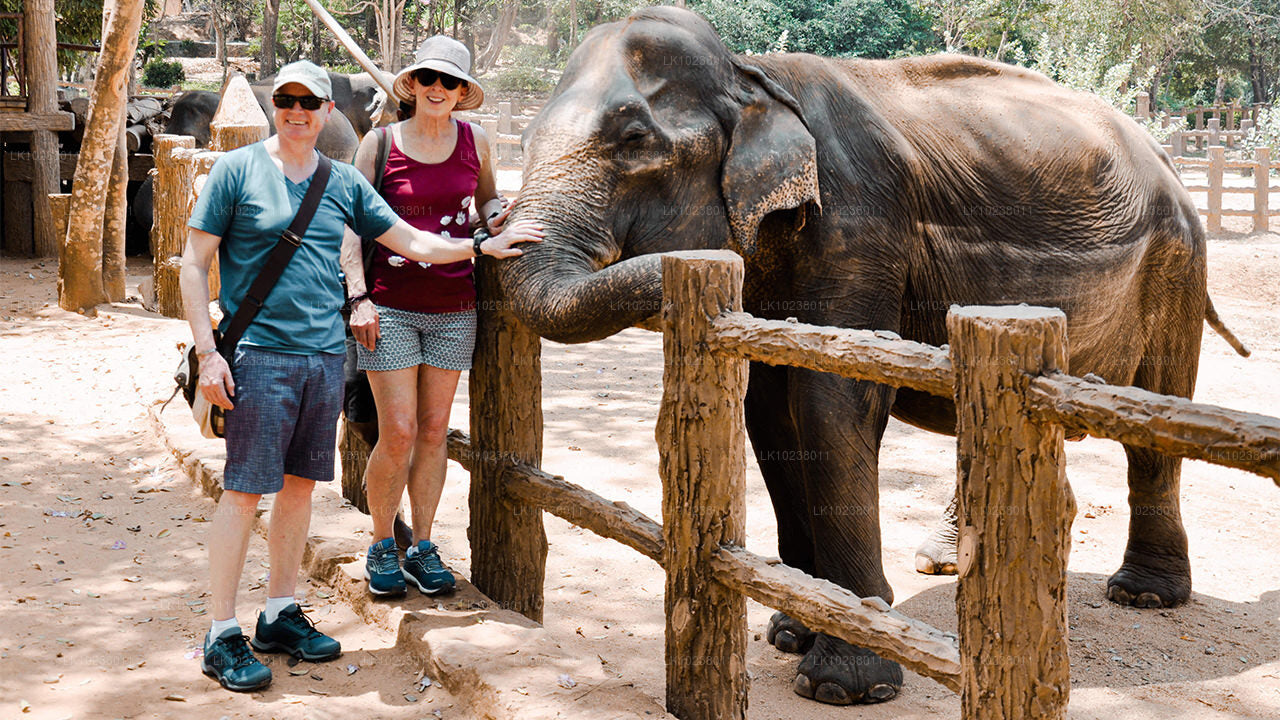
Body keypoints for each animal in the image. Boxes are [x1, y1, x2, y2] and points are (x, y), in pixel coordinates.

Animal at [496, 2, 1249, 702]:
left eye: (630, 140)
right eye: (523, 141)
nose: (490, 228)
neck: (751, 73)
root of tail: (1165, 156)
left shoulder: (861, 222)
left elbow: (831, 402)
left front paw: (845, 683)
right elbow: (771, 404)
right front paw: (793, 631)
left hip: (1177, 264)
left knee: (1157, 418)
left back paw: (1142, 595)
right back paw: (954, 561)